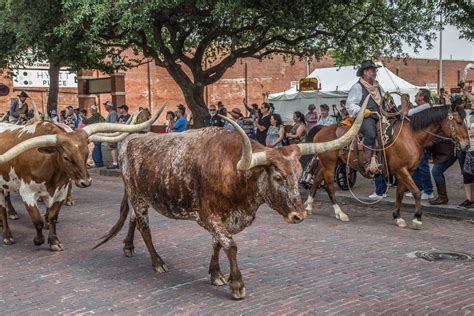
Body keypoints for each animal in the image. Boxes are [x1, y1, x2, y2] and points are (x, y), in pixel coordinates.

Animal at [304, 100, 470, 228]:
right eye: (459, 122)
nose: (467, 145)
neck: (410, 136)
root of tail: (322, 129)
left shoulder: (407, 171)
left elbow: (400, 193)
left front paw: (397, 217)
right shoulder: (401, 169)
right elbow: (416, 192)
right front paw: (417, 218)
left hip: (329, 163)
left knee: (317, 180)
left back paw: (309, 206)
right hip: (329, 163)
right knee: (329, 186)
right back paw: (340, 213)